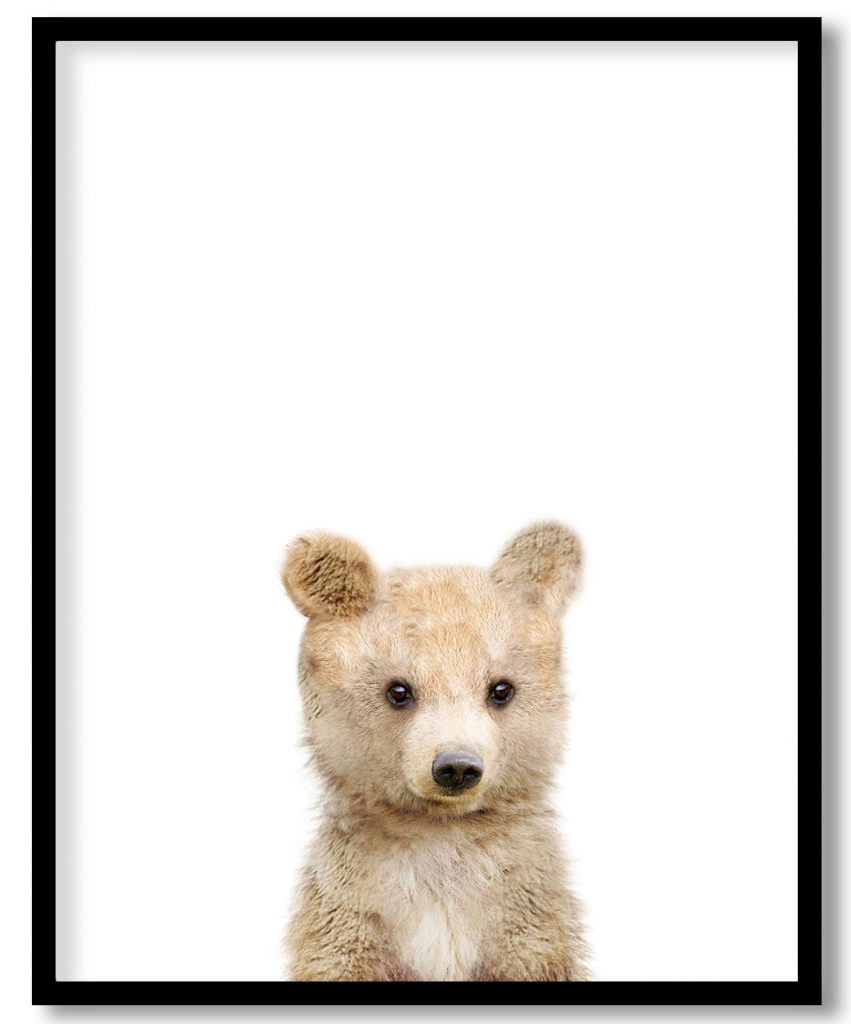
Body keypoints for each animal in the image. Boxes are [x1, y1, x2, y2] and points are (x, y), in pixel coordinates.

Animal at [279, 522, 590, 982]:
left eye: (501, 688)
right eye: (398, 690)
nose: (457, 766)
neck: (440, 833)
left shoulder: (524, 912)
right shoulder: (352, 909)